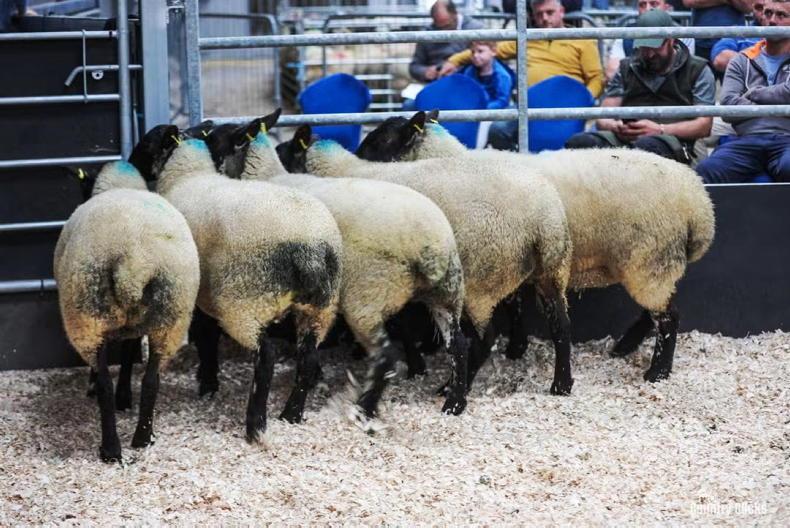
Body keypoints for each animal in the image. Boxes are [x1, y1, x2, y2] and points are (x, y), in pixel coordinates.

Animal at [54, 161, 200, 462]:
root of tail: (134, 263)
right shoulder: (136, 325)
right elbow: (130, 355)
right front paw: (125, 396)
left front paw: (114, 393)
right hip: (170, 320)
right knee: (151, 380)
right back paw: (143, 438)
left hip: (86, 316)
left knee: (104, 386)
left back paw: (110, 449)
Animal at [129, 125, 343, 442]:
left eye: (146, 142)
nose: (129, 163)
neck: (189, 174)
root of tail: (310, 248)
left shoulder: (200, 296)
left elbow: (206, 337)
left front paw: (207, 383)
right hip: (320, 307)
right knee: (308, 356)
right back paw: (290, 415)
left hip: (243, 301)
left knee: (266, 357)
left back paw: (255, 425)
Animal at [203, 112, 468, 420]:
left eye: (214, 140)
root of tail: (428, 241)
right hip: (447, 292)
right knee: (458, 345)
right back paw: (454, 403)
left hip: (369, 294)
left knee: (387, 354)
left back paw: (363, 407)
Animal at [280, 114, 575, 398]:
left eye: (381, 140)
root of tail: (542, 219)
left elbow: (402, 324)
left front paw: (415, 363)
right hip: (552, 270)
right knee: (561, 325)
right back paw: (561, 384)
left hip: (480, 279)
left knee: (484, 338)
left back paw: (454, 389)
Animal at [361, 111, 716, 384]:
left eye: (381, 139)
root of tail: (699, 201)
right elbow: (514, 304)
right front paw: (516, 348)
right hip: (653, 261)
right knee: (655, 310)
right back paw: (625, 346)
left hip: (650, 259)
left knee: (669, 318)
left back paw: (657, 371)